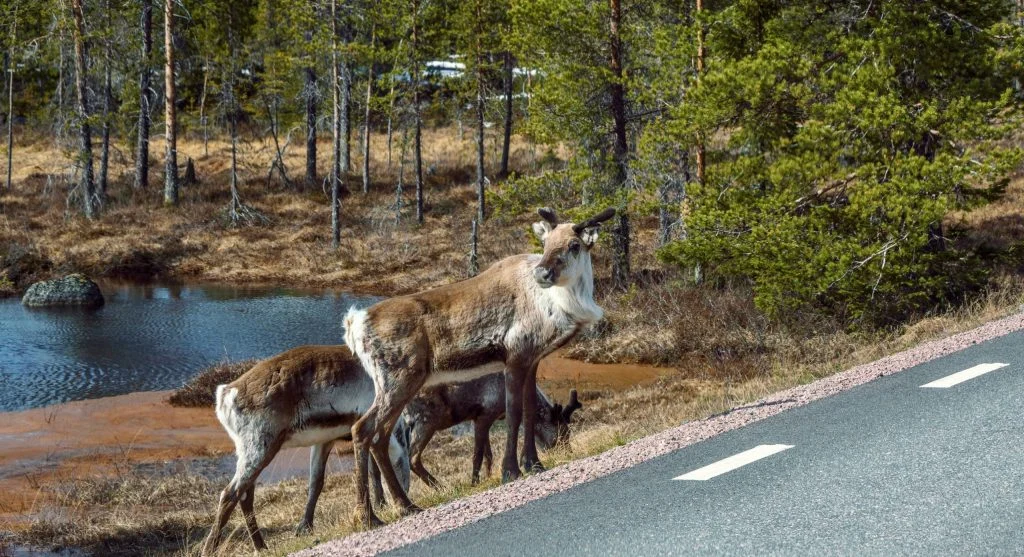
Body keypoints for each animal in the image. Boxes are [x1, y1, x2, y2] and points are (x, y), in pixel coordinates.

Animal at [201, 345, 412, 556]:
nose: (407, 487)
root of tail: (226, 393)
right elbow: (374, 468)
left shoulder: (324, 441)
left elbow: (316, 483)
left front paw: (304, 527)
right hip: (260, 447)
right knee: (230, 493)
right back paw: (210, 549)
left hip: (249, 451)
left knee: (245, 496)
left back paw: (261, 547)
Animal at [402, 373, 582, 487]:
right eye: (563, 434)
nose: (568, 453)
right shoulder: (484, 414)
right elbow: (477, 455)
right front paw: (474, 482)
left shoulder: (482, 418)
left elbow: (488, 455)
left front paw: (488, 477)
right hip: (426, 421)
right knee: (413, 458)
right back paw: (440, 486)